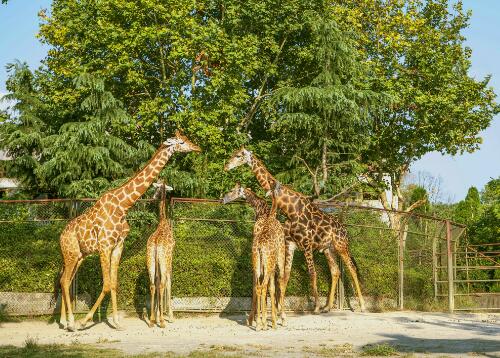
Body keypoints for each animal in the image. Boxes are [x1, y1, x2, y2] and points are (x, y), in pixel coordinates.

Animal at [57, 131, 201, 330]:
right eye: (181, 142)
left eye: (187, 139)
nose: (197, 148)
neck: (123, 205)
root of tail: (61, 235)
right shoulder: (105, 246)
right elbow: (106, 284)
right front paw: (84, 320)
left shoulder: (118, 246)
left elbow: (114, 283)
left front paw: (117, 323)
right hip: (71, 253)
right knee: (64, 281)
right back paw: (71, 322)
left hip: (78, 255)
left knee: (65, 280)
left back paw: (64, 321)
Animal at [223, 182, 286, 330]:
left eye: (231, 190)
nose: (222, 199)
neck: (265, 213)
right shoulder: (276, 258)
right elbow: (272, 287)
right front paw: (267, 319)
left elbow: (265, 287)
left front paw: (258, 319)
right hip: (272, 261)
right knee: (272, 283)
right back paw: (269, 321)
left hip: (261, 262)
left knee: (260, 286)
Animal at [225, 148, 366, 314]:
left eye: (238, 155)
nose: (226, 166)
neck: (290, 210)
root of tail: (344, 229)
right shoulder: (290, 244)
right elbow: (285, 276)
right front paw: (280, 308)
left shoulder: (306, 244)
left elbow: (312, 273)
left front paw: (316, 307)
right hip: (328, 249)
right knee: (335, 271)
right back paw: (328, 306)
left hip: (341, 246)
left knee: (351, 268)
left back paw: (362, 305)